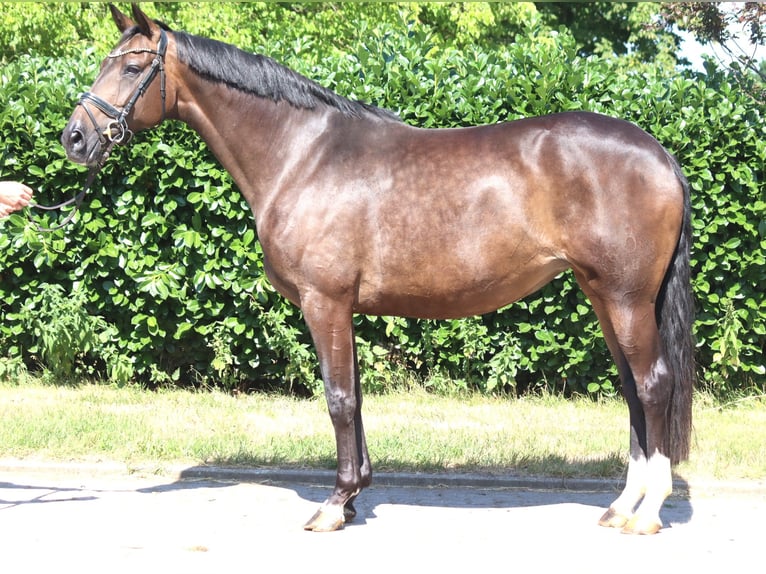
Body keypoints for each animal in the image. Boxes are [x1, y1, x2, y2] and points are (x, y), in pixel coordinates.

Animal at [62, 4, 694, 535]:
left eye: (133, 65)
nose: (75, 138)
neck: (303, 155)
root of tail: (659, 154)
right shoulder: (343, 309)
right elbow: (356, 397)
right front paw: (355, 495)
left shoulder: (325, 302)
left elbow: (339, 398)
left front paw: (333, 505)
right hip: (603, 295)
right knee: (633, 391)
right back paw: (621, 506)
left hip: (626, 298)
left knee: (653, 385)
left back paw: (648, 512)